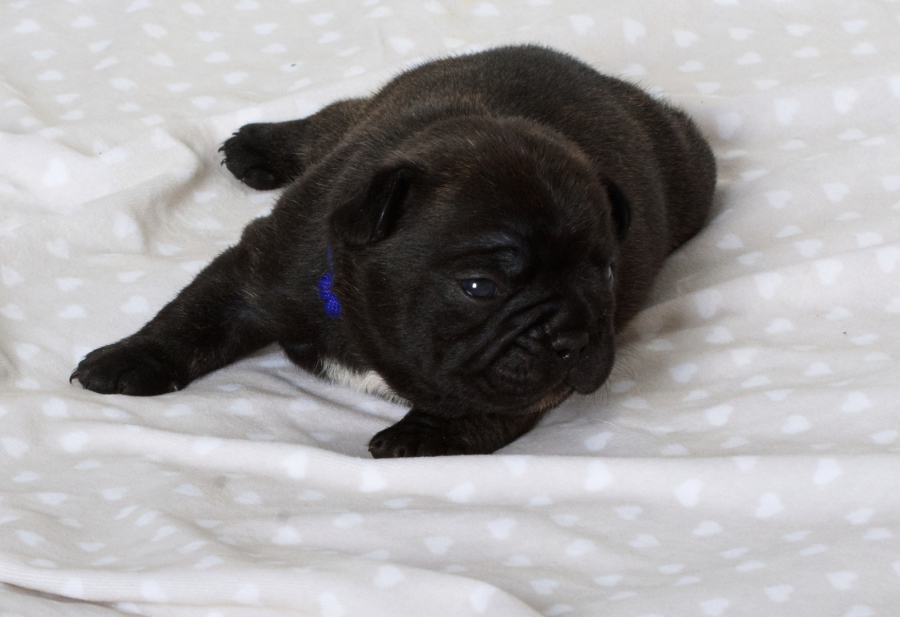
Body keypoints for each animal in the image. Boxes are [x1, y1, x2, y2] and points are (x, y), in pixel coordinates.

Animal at [71, 45, 716, 457]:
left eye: (605, 271)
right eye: (480, 287)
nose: (573, 338)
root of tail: (603, 78)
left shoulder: (529, 378)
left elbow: (493, 405)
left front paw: (425, 434)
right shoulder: (257, 271)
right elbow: (192, 317)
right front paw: (127, 358)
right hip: (353, 117)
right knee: (322, 123)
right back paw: (259, 144)